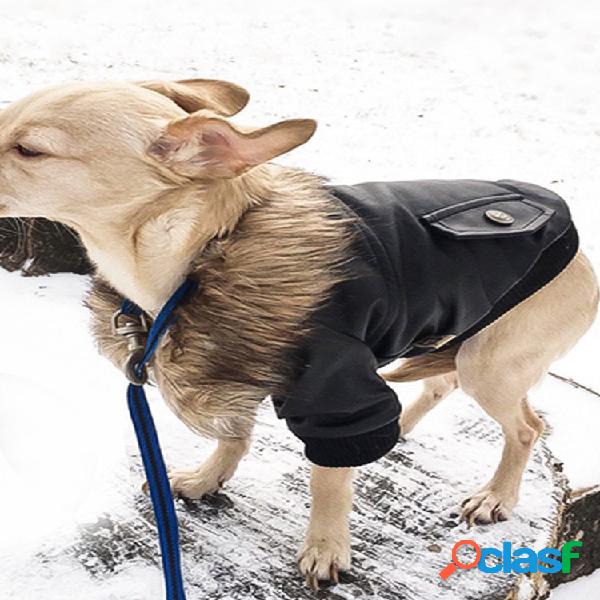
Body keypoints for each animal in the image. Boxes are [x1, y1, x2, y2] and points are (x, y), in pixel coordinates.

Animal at [0, 77, 596, 588]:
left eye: (29, 150)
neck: (205, 249)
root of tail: (581, 257)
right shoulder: (232, 367)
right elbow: (234, 435)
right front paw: (208, 479)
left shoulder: (334, 394)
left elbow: (327, 479)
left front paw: (326, 548)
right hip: (452, 336)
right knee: (440, 384)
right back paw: (402, 428)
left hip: (489, 365)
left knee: (526, 427)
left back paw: (496, 495)